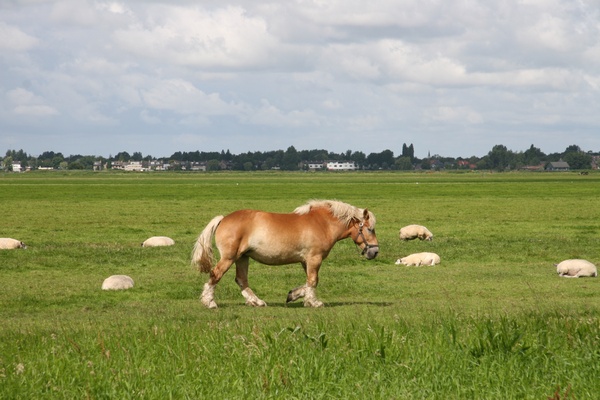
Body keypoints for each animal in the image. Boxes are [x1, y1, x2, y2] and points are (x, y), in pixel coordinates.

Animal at [192, 200, 380, 310]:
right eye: (370, 229)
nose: (375, 251)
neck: (323, 224)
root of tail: (223, 219)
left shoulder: (306, 261)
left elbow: (309, 281)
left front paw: (295, 295)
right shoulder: (314, 258)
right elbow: (313, 280)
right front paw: (314, 302)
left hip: (242, 258)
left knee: (241, 280)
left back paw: (256, 301)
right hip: (229, 258)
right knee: (216, 274)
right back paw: (210, 302)